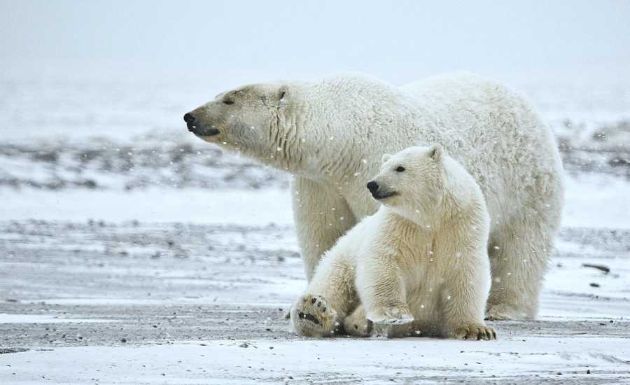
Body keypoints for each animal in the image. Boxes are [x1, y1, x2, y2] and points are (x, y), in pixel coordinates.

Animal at [185, 73, 564, 320]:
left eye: (229, 98)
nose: (190, 116)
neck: (340, 138)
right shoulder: (320, 182)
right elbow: (324, 234)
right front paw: (312, 301)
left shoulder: (373, 166)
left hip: (528, 184)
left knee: (521, 248)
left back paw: (505, 309)